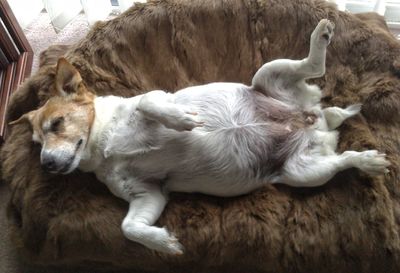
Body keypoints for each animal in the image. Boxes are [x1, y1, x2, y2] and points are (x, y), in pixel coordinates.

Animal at [10, 18, 390, 253]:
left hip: (267, 75)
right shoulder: (148, 195)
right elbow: (129, 227)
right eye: (37, 144)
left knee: (313, 66)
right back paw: (367, 159)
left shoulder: (153, 98)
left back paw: (321, 37)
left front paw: (181, 121)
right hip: (302, 171)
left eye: (57, 123)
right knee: (342, 159)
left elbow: (149, 102)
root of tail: (314, 119)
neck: (106, 144)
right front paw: (164, 243)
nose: (46, 164)